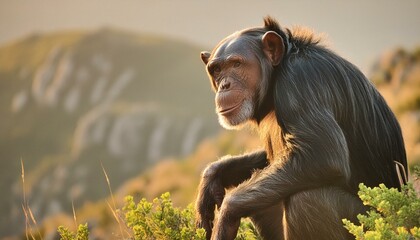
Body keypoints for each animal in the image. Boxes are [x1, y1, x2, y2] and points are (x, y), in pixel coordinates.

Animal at [196, 16, 406, 240]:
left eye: (236, 64)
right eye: (217, 70)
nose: (224, 85)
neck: (278, 72)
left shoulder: (300, 81)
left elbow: (322, 155)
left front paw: (226, 215)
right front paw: (213, 177)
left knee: (308, 199)